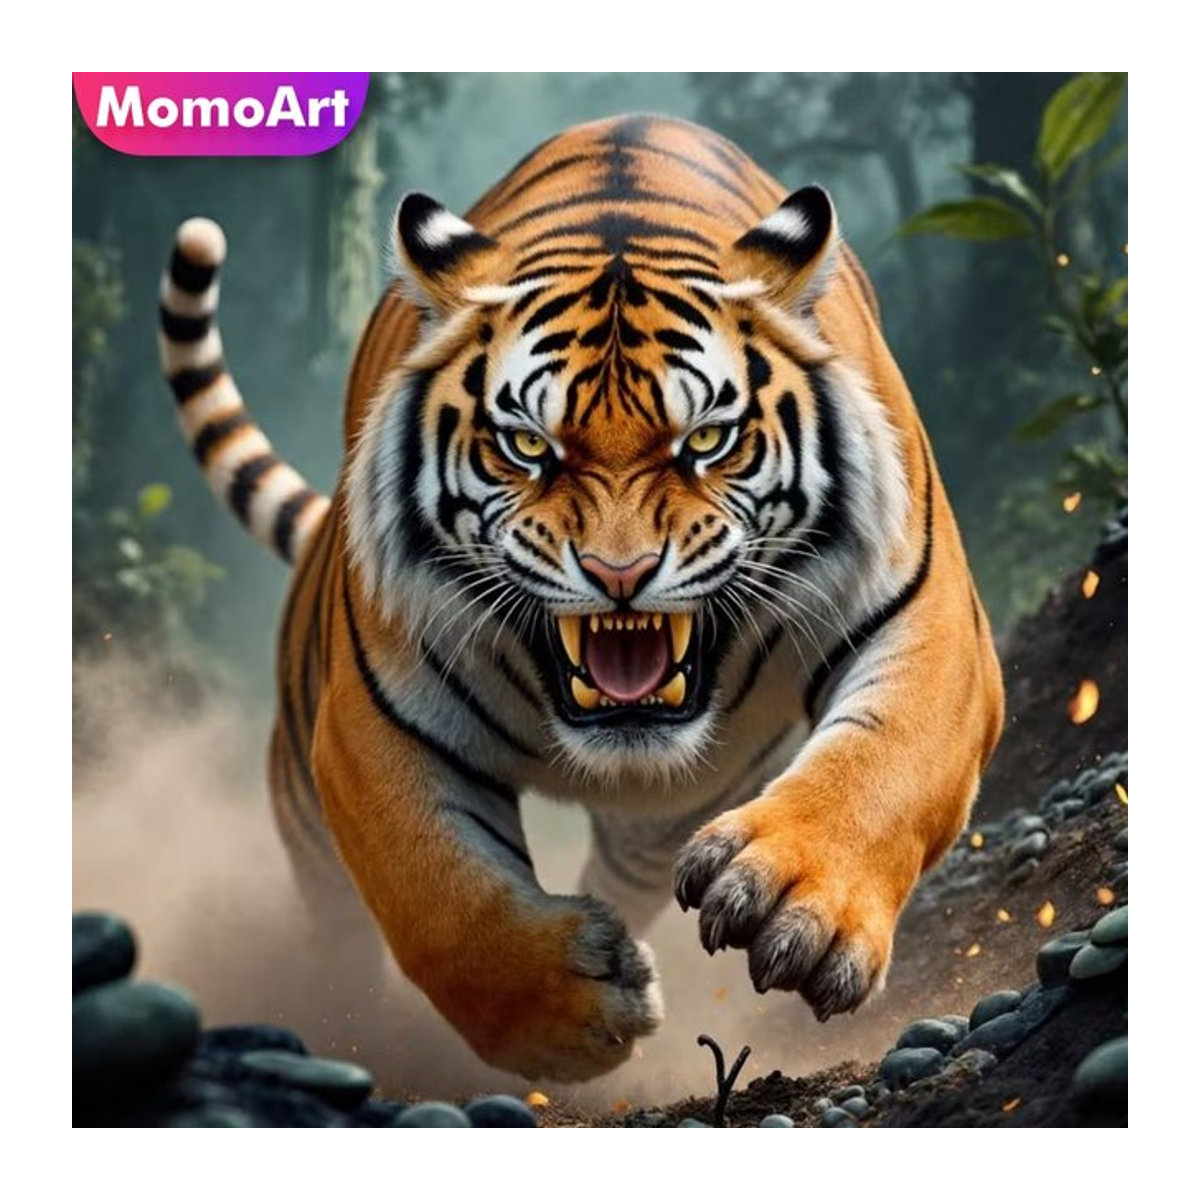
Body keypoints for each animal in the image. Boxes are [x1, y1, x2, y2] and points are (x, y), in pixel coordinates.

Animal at [157, 114, 1004, 1082]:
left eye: (706, 439)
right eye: (528, 446)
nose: (619, 572)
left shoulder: (930, 618)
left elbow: (889, 759)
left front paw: (796, 898)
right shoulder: (370, 721)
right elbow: (435, 890)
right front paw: (569, 1011)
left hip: (658, 820)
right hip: (302, 797)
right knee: (335, 916)